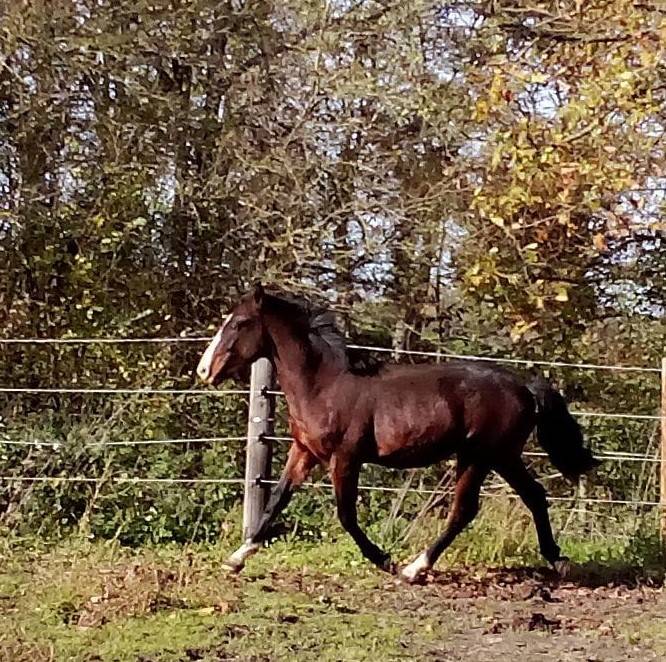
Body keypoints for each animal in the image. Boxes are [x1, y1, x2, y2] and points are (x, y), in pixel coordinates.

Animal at [196, 284, 598, 582]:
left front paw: (385, 560)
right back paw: (557, 560)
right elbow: (276, 500)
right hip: (501, 456)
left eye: (240, 323)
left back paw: (414, 568)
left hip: (481, 456)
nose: (204, 371)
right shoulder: (304, 452)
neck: (324, 385)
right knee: (534, 495)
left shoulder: (345, 459)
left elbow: (346, 516)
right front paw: (236, 558)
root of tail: (525, 387)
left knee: (465, 510)